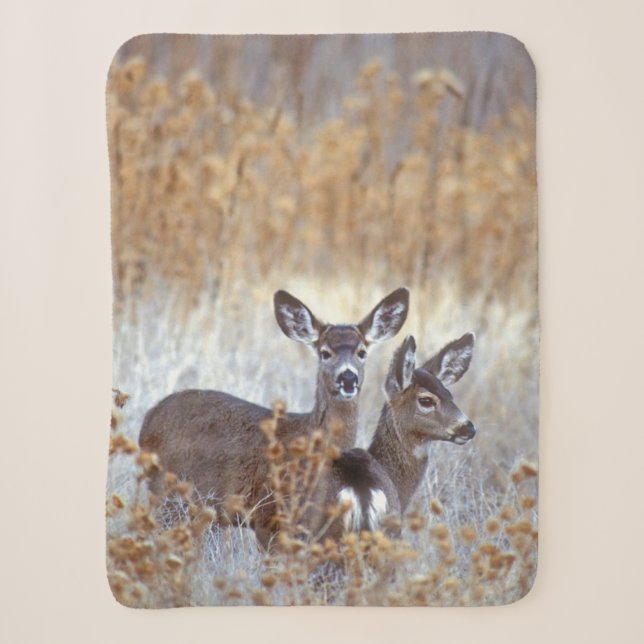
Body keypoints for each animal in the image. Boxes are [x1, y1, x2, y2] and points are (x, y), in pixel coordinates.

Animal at [138, 287, 410, 548]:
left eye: (362, 352)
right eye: (324, 352)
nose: (348, 378)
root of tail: (150, 417)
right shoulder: (269, 516)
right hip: (167, 493)